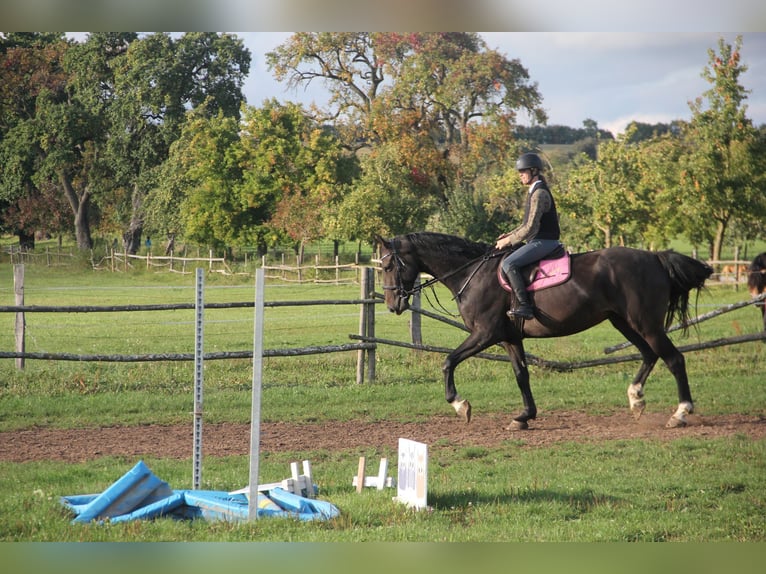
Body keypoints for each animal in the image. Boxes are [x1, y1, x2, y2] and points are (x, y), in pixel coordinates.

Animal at [377, 232, 713, 430]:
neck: (473, 273)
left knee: (674, 359)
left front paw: (460, 405)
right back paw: (636, 400)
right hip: (624, 323)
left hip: (646, 324)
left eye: (389, 266)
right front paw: (524, 417)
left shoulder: (485, 334)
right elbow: (521, 375)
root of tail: (654, 257)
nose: (393, 305)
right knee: (648, 355)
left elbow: (448, 361)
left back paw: (680, 413)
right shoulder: (509, 339)